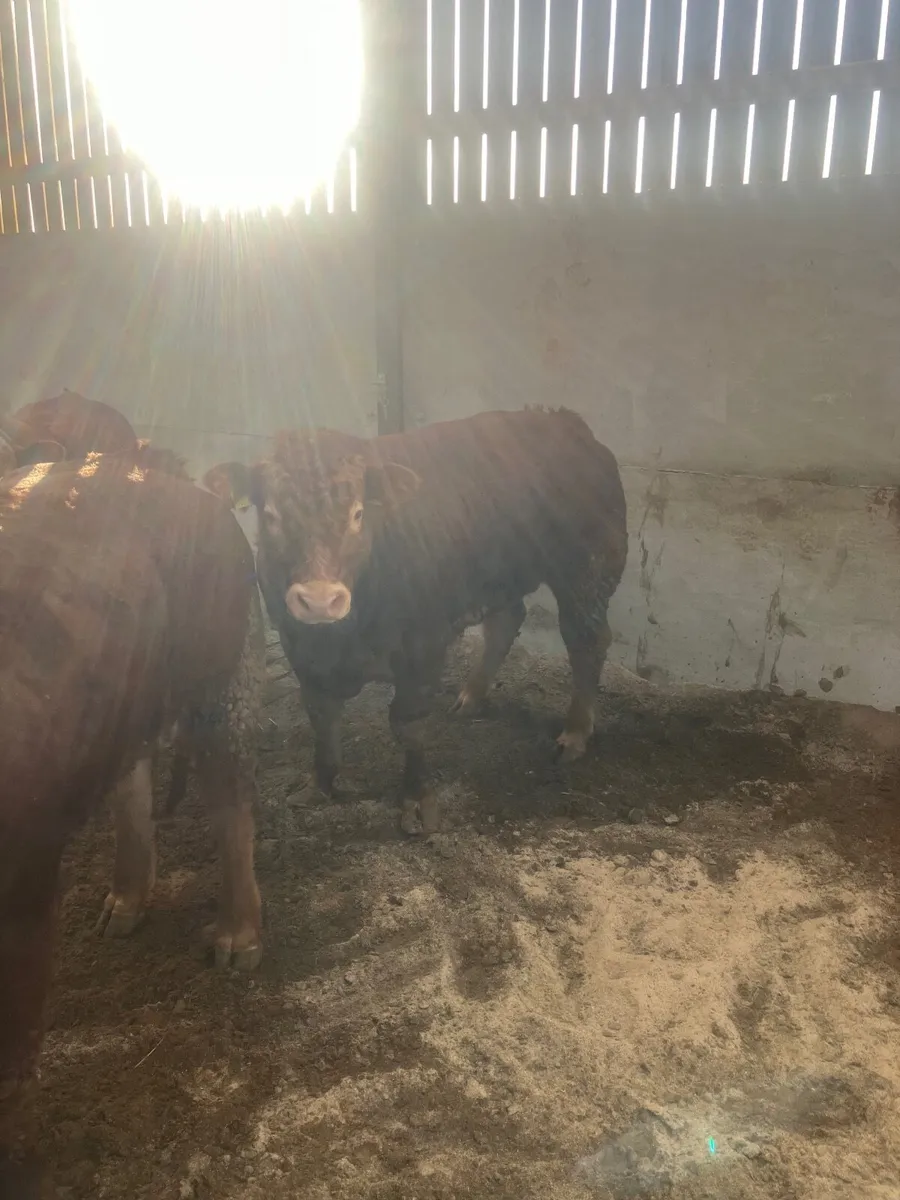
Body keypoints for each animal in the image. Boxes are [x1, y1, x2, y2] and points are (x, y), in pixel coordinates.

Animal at [0, 450, 265, 1187]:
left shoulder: (27, 885)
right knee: (133, 783)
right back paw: (126, 901)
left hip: (214, 682)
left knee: (229, 801)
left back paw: (237, 938)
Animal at [205, 407, 627, 836]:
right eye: (271, 515)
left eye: (358, 513)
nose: (320, 599)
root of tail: (566, 422)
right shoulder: (298, 646)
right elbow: (321, 716)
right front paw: (320, 783)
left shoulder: (423, 647)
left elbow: (408, 723)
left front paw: (416, 798)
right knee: (505, 623)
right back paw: (471, 696)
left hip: (587, 569)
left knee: (586, 641)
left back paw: (574, 733)